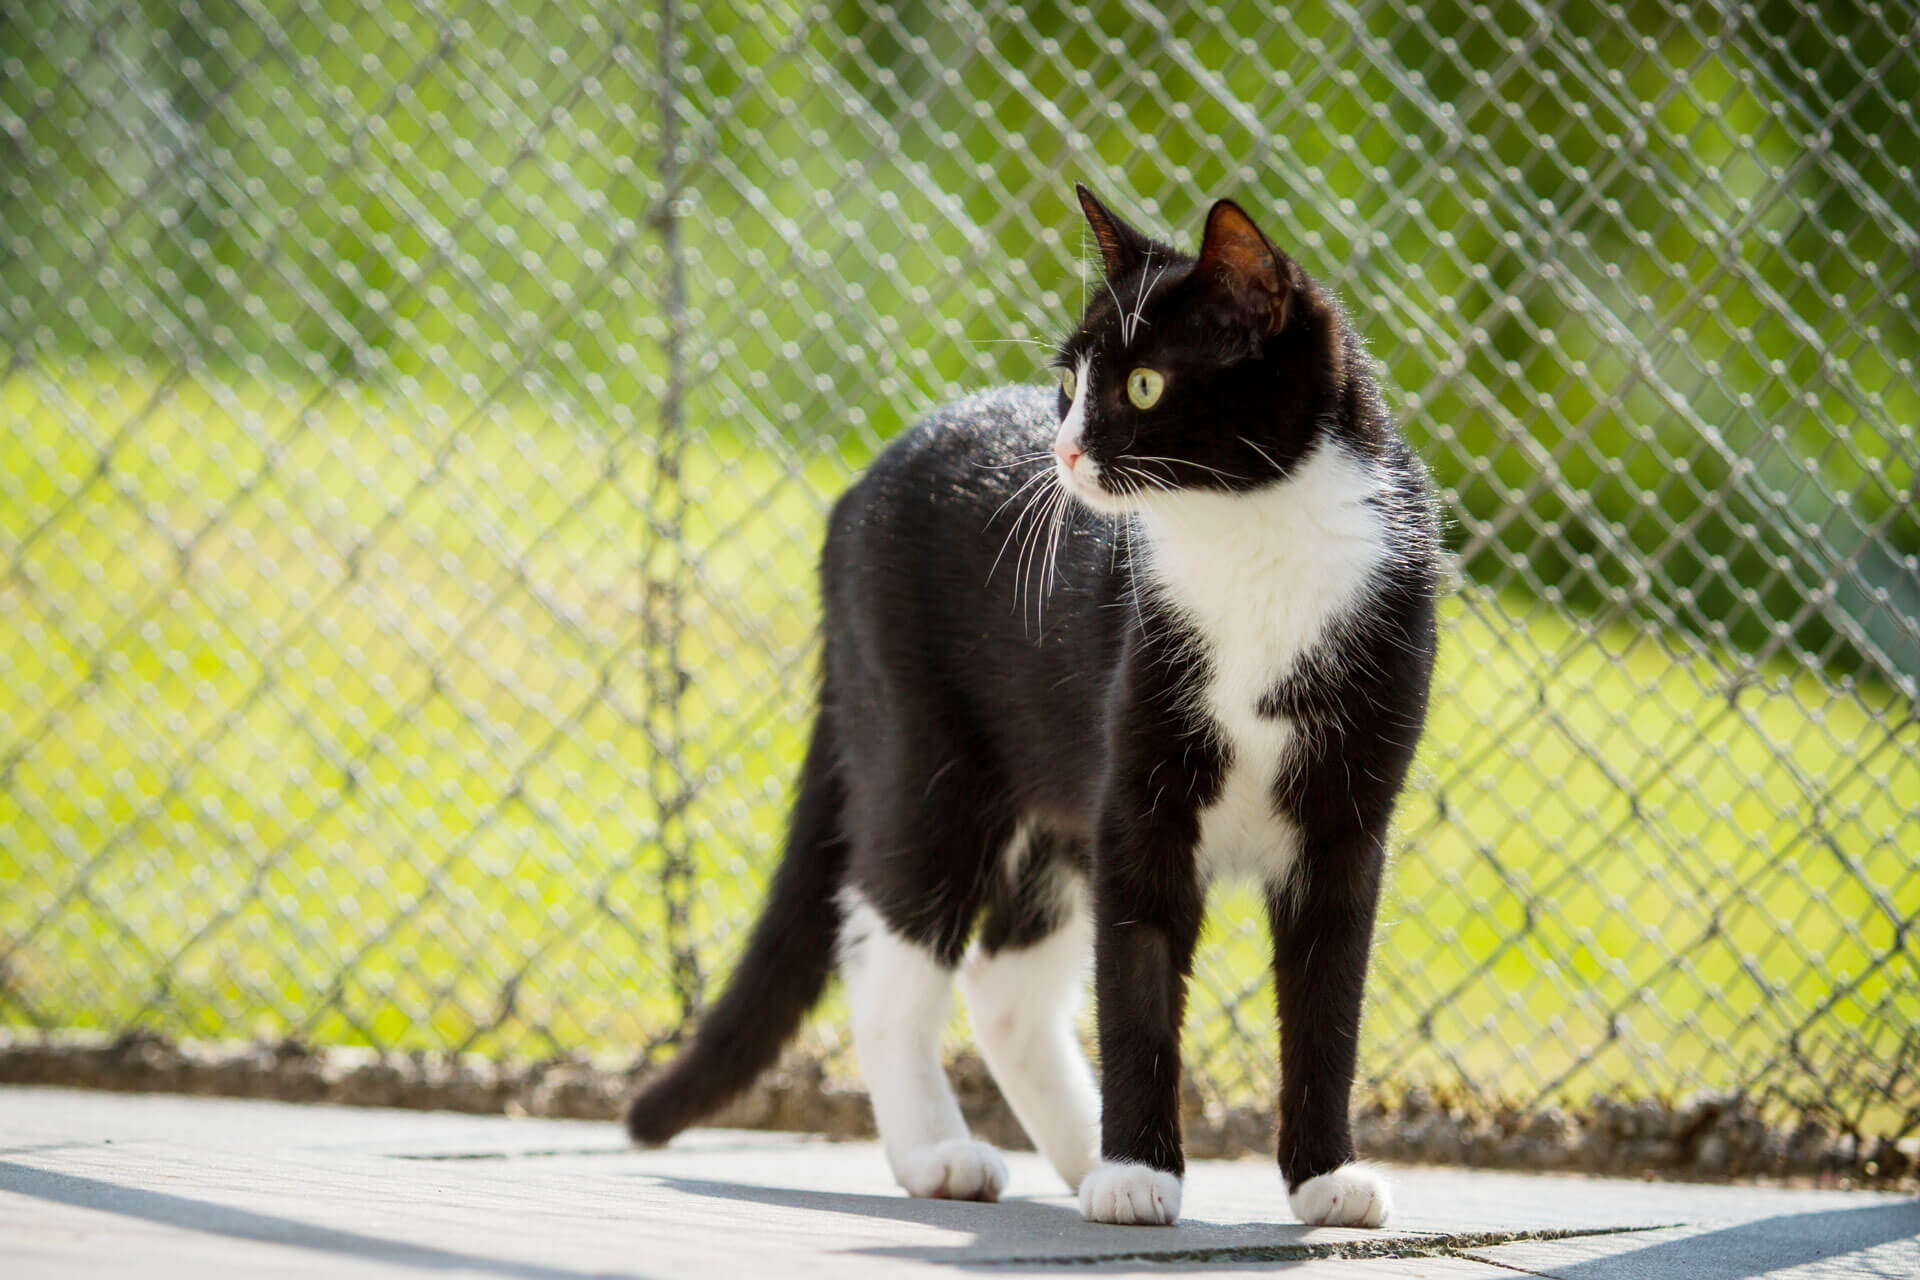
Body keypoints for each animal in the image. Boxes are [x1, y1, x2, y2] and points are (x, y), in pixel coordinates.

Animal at [629, 185, 1443, 1228]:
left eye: (1144, 386)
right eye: (1069, 383)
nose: (1063, 449)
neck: (1249, 544)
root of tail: (861, 484)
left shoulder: (1347, 822)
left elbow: (1328, 1001)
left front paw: (1324, 1178)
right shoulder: (1135, 803)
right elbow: (1136, 990)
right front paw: (1138, 1172)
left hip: (1053, 808)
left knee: (1004, 981)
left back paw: (1079, 1152)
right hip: (927, 757)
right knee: (888, 956)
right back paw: (944, 1153)